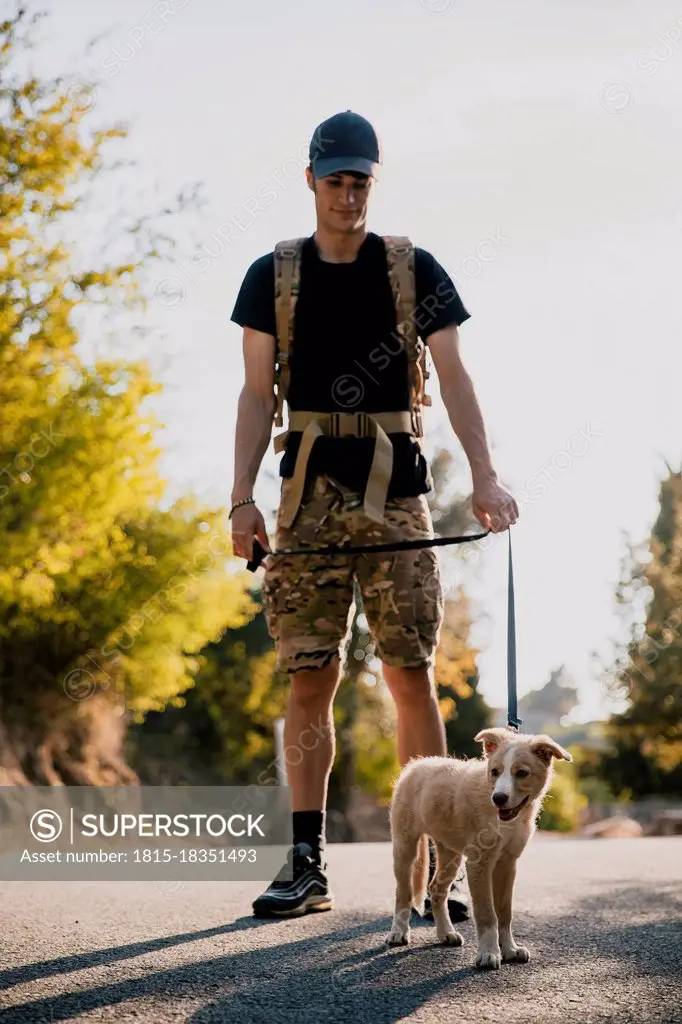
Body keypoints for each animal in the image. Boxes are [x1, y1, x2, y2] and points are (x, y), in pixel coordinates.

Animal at [385, 729, 569, 966]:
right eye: (494, 772)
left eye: (522, 773)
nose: (498, 798)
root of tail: (417, 763)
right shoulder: (479, 863)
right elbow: (486, 914)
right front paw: (489, 953)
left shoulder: (507, 864)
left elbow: (504, 912)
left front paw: (510, 949)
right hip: (405, 846)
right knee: (403, 893)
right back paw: (398, 932)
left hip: (450, 853)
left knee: (436, 889)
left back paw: (446, 933)